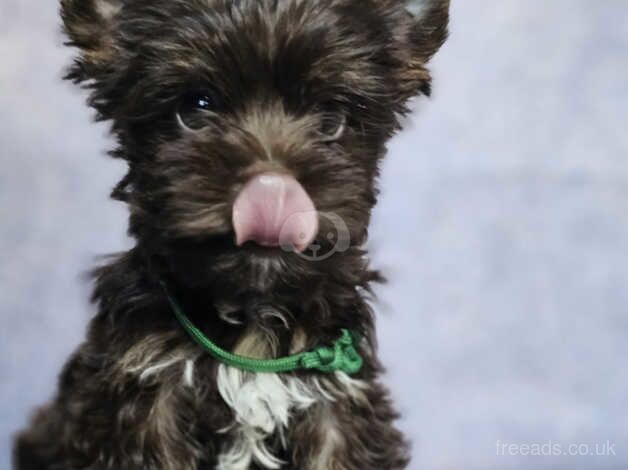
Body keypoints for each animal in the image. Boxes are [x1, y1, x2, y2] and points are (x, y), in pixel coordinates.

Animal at [13, 1, 446, 468]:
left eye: (331, 121)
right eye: (195, 108)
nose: (273, 188)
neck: (253, 321)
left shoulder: (340, 405)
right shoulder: (139, 396)